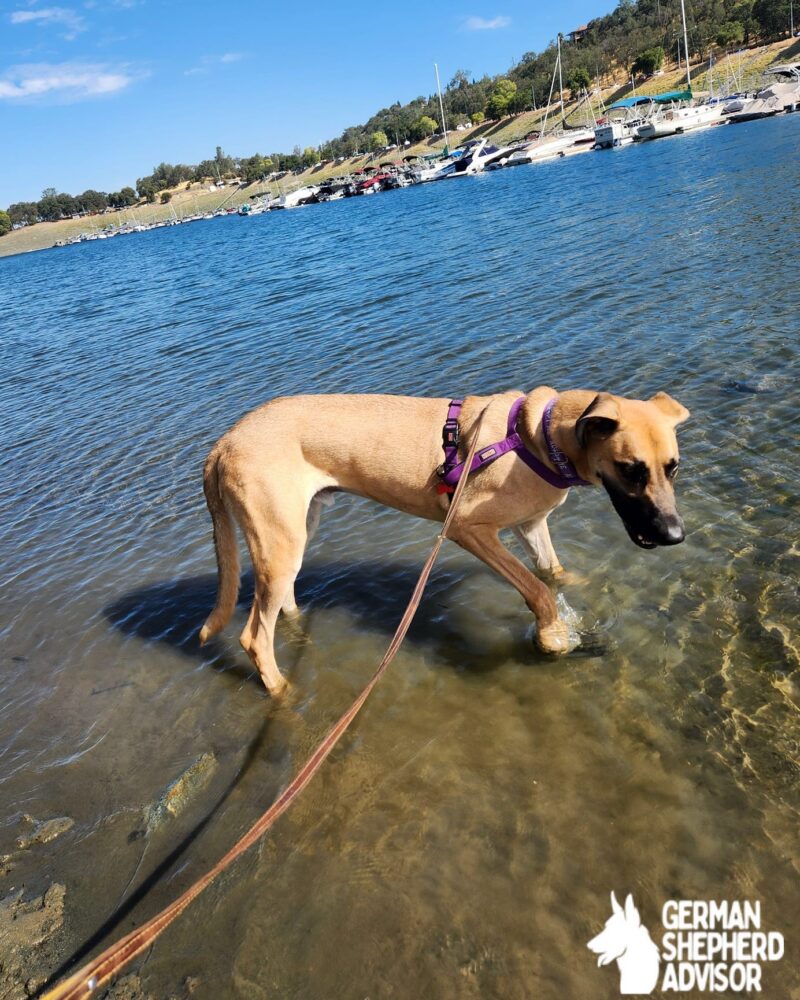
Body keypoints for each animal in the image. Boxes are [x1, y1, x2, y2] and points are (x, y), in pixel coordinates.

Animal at [198, 390, 688, 696]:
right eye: (631, 469)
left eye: (673, 467)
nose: (675, 535)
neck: (537, 437)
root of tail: (224, 441)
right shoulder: (469, 529)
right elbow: (537, 590)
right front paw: (552, 638)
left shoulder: (531, 526)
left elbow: (554, 573)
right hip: (280, 544)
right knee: (254, 637)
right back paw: (282, 690)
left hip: (297, 533)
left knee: (281, 605)